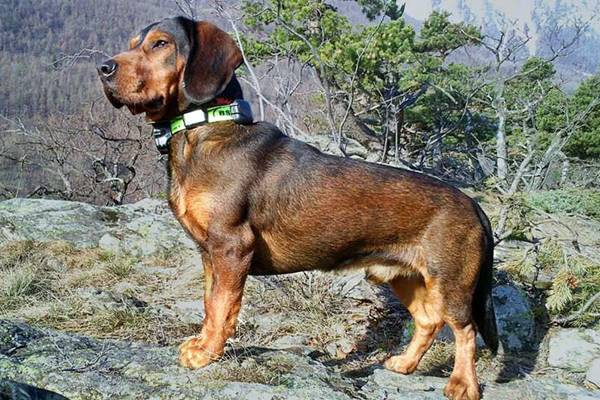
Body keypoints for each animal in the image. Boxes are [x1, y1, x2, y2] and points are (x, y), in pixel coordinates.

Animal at [98, 16, 500, 400]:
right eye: (133, 44)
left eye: (160, 44)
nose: (103, 68)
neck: (203, 131)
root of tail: (475, 208)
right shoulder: (209, 254)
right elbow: (210, 304)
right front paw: (203, 343)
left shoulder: (231, 247)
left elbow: (222, 307)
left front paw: (207, 353)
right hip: (403, 276)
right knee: (428, 321)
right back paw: (404, 363)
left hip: (450, 283)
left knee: (465, 329)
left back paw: (463, 385)